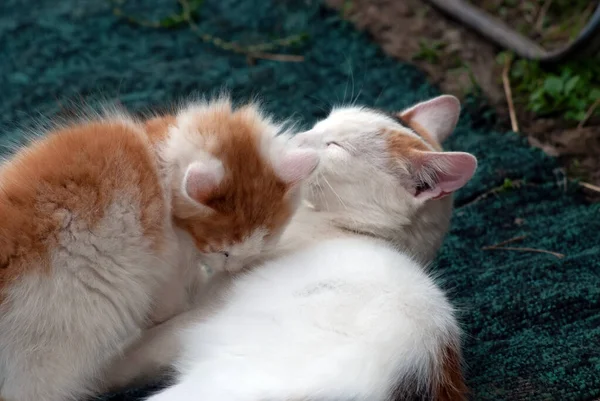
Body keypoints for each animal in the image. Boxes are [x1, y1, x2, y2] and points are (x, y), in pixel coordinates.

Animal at [0, 97, 318, 400]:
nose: (235, 268)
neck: (159, 160)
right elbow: (174, 304)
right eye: (223, 252)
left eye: (263, 245)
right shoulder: (167, 268)